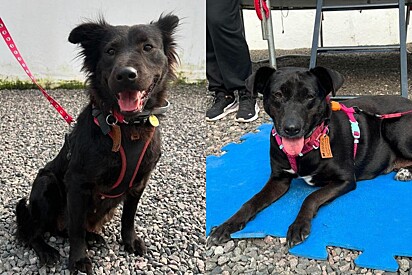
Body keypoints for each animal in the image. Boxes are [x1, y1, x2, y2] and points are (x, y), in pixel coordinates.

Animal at [15, 13, 179, 274]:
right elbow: (76, 230)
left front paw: (129, 241)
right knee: (33, 231)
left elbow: (128, 217)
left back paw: (92, 237)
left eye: (148, 47)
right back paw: (47, 250)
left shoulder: (140, 181)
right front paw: (78, 258)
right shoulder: (77, 184)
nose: (126, 75)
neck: (126, 127)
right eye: (110, 51)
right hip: (45, 183)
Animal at [208, 67, 412, 250]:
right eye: (278, 95)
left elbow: (311, 197)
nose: (291, 129)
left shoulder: (345, 180)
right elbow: (252, 200)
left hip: (393, 127)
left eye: (309, 96)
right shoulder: (279, 179)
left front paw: (299, 225)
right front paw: (227, 225)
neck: (308, 146)